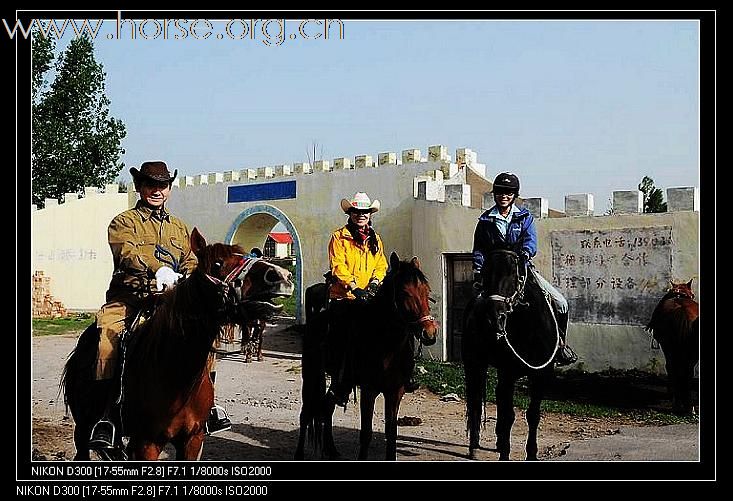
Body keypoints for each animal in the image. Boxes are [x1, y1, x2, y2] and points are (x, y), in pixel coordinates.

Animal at [61, 229, 294, 458]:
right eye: (218, 263)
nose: (281, 275)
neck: (176, 370)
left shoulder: (193, 440)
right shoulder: (147, 444)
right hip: (83, 429)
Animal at [296, 252, 438, 458]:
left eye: (426, 291)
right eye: (404, 293)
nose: (430, 333)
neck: (386, 345)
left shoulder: (395, 391)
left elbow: (391, 433)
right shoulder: (369, 390)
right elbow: (366, 434)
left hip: (339, 381)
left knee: (327, 407)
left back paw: (332, 450)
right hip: (312, 374)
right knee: (306, 413)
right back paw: (299, 454)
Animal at [464, 248, 560, 458]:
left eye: (513, 275)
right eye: (486, 273)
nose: (494, 316)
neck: (528, 328)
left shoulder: (541, 374)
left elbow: (533, 415)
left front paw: (531, 454)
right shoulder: (508, 372)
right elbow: (508, 415)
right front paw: (505, 454)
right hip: (476, 364)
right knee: (476, 402)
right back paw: (474, 447)